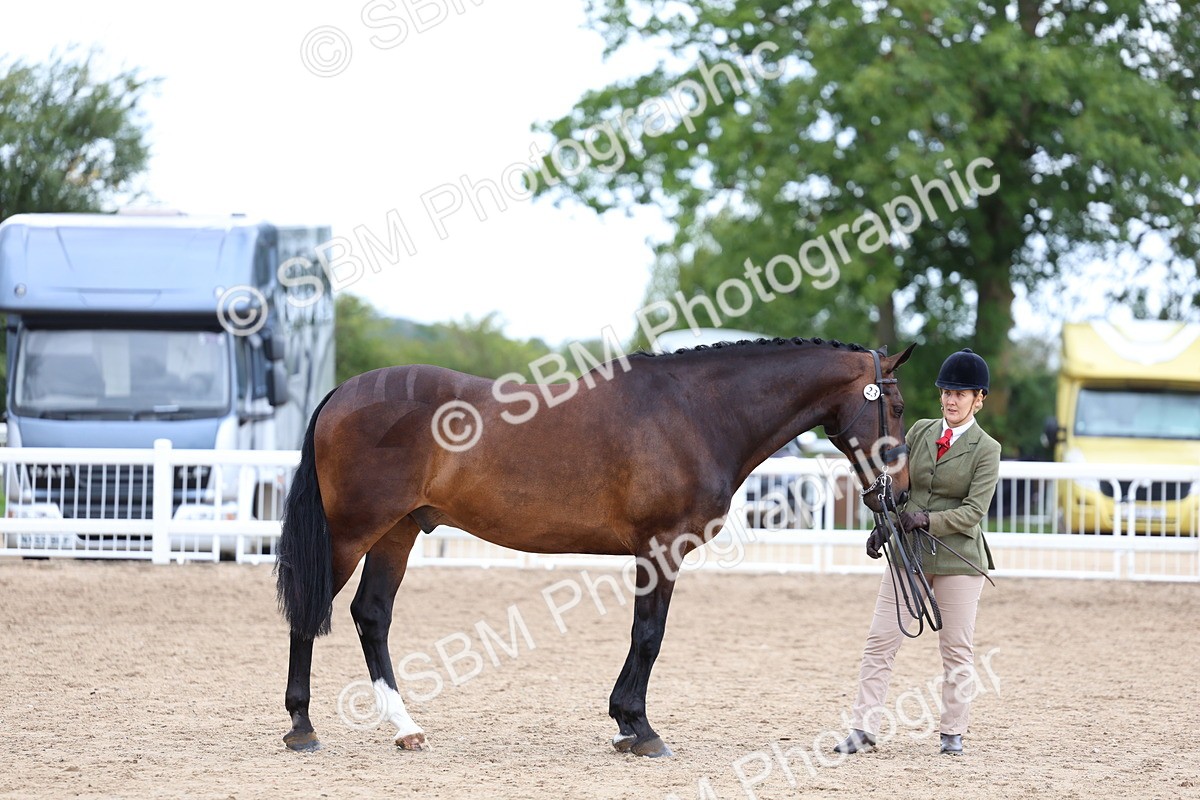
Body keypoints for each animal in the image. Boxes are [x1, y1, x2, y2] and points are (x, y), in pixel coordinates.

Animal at [275, 337, 916, 757]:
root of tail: (341, 393)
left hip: (398, 532)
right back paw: (302, 727)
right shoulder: (661, 548)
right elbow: (649, 634)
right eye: (898, 405)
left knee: (371, 615)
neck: (696, 412)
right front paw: (641, 729)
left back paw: (404, 727)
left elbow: (643, 634)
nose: (901, 493)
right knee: (309, 613)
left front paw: (624, 725)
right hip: (352, 533)